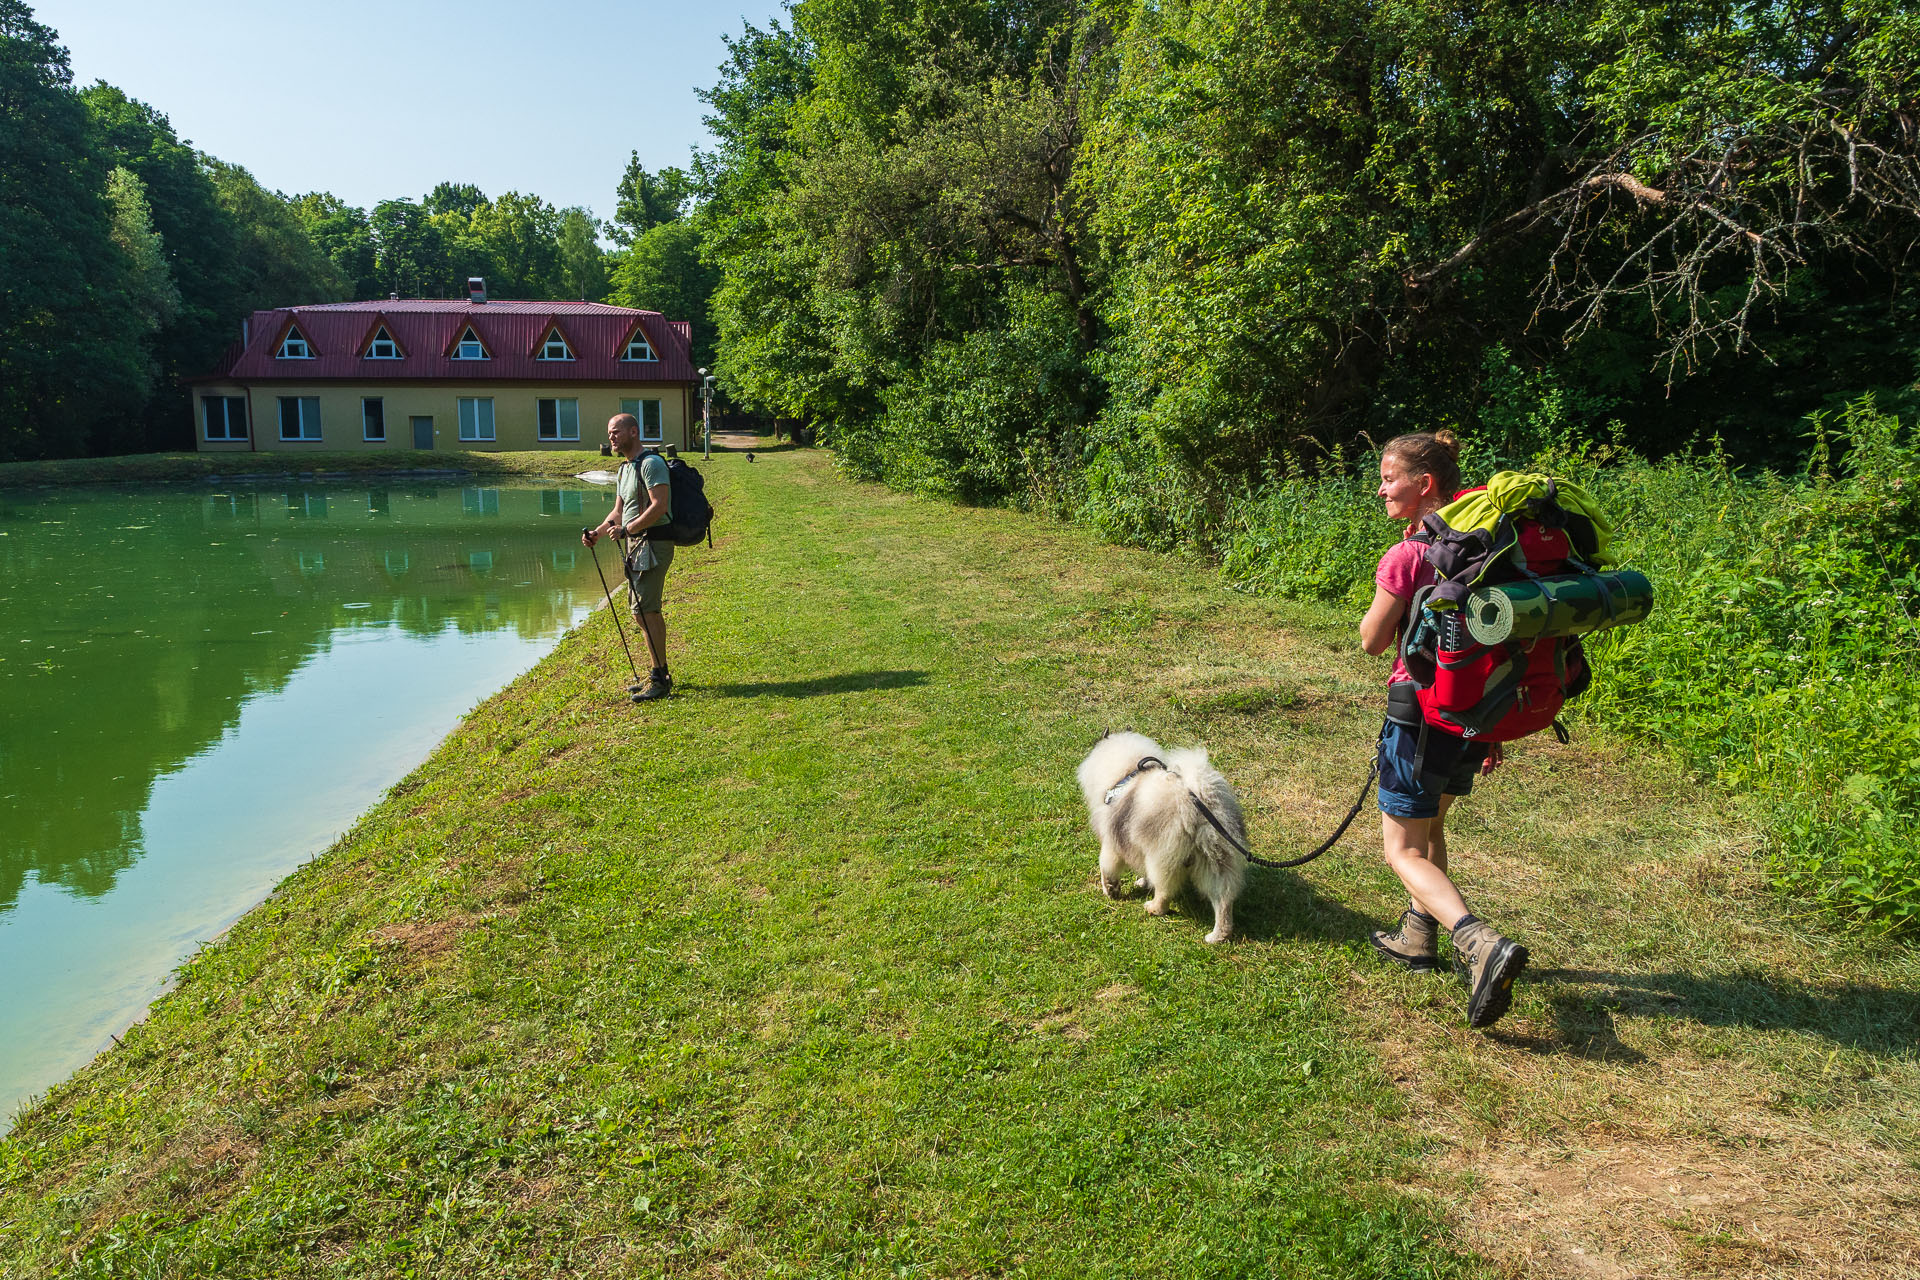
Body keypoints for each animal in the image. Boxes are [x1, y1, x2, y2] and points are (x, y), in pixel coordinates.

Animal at [1075, 729, 1251, 940]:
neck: (1126, 774)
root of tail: (1197, 799)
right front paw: (1141, 883)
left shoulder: (1112, 844)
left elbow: (1106, 868)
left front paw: (1111, 891)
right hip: (1217, 857)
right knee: (1223, 898)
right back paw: (1218, 935)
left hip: (1162, 857)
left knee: (1165, 890)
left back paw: (1154, 908)